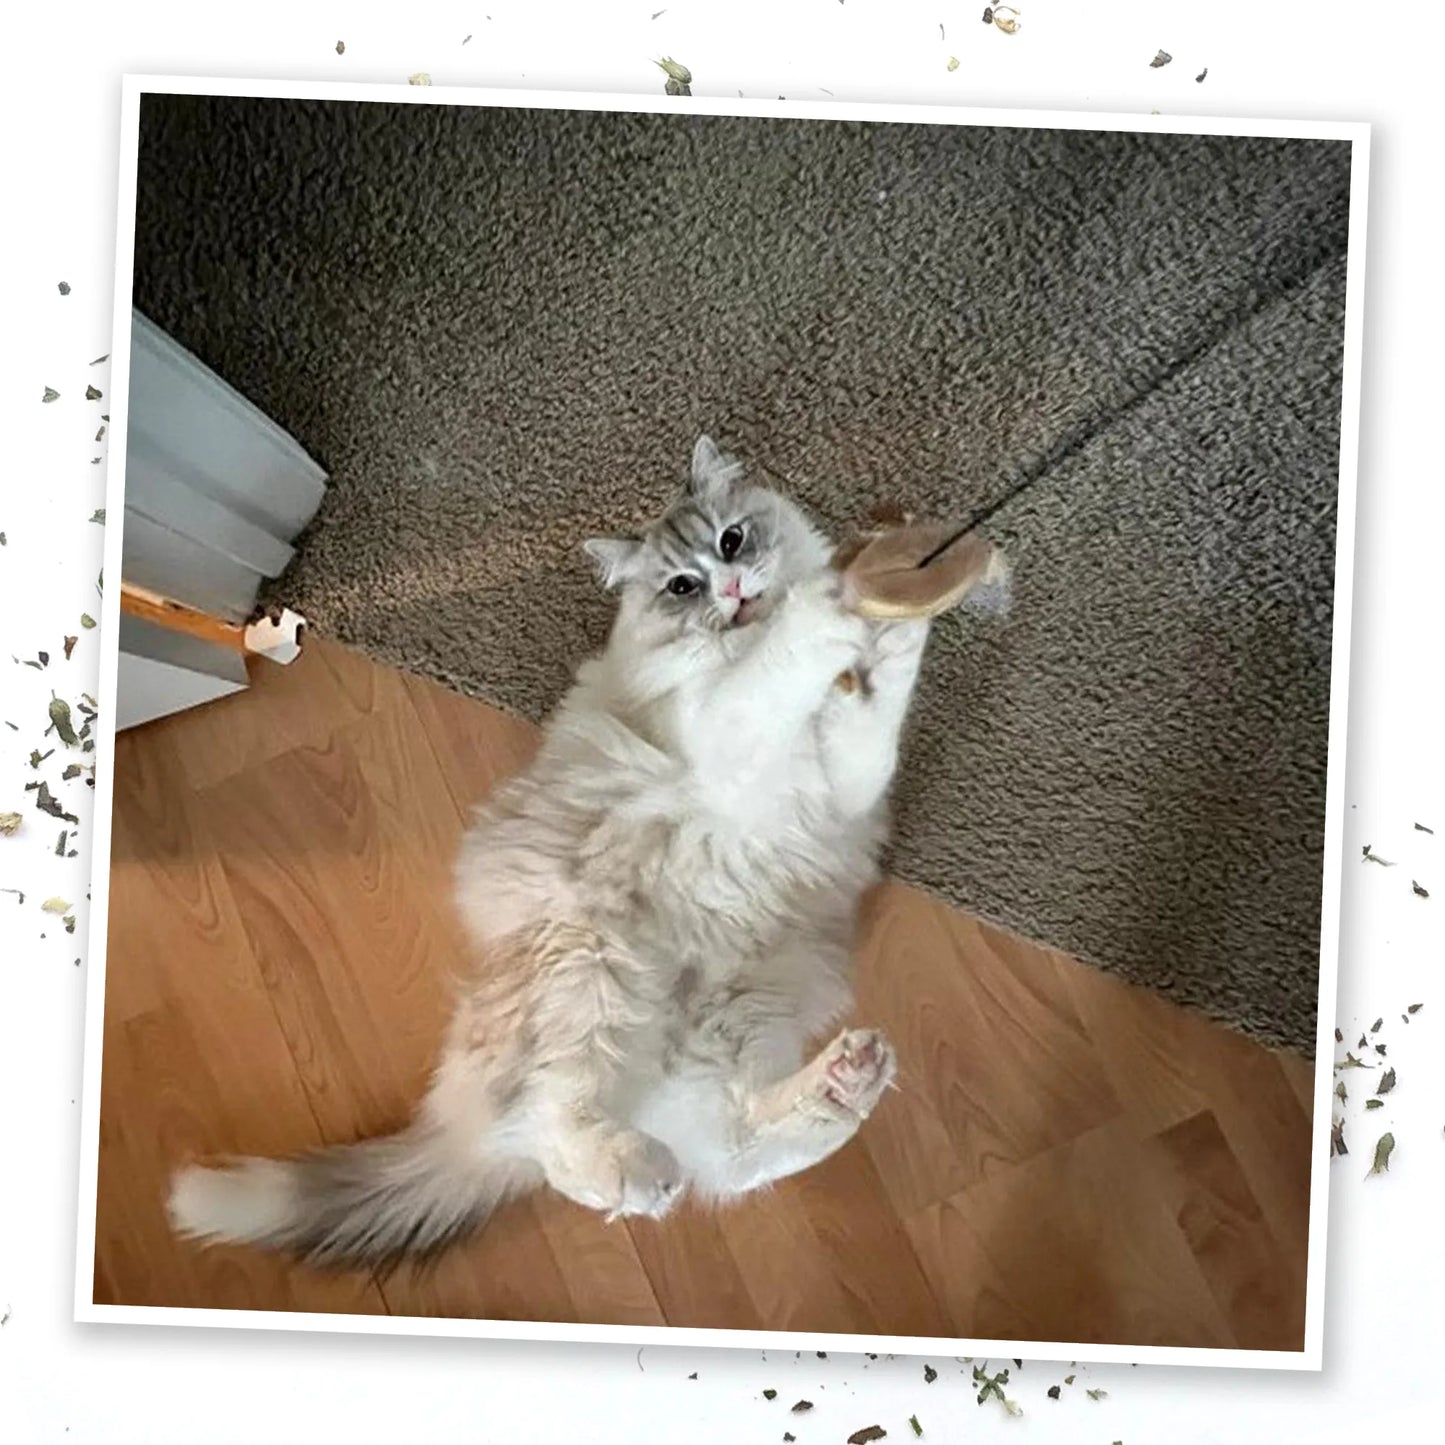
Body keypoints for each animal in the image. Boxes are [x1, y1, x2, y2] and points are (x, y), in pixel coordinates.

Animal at [169, 433, 959, 1271]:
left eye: (731, 540)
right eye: (682, 586)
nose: (733, 586)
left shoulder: (851, 779)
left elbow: (876, 707)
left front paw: (899, 624)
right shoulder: (729, 721)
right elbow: (785, 658)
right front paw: (836, 602)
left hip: (739, 1012)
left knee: (732, 1144)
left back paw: (843, 1084)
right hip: (591, 972)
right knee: (553, 1123)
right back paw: (634, 1175)